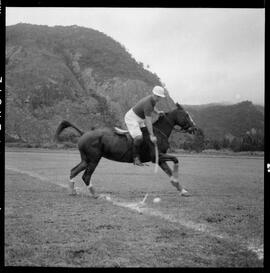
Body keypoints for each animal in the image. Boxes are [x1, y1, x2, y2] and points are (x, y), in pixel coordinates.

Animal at [54, 103, 199, 197]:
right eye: (186, 115)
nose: (195, 128)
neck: (158, 132)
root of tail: (84, 133)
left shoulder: (160, 159)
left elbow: (169, 171)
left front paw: (182, 190)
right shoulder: (156, 157)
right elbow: (176, 159)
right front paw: (179, 185)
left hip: (86, 159)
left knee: (74, 171)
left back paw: (73, 191)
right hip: (94, 159)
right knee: (86, 176)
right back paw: (95, 194)